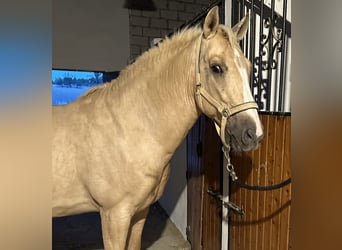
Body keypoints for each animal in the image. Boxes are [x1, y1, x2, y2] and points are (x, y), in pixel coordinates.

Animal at [52, 6, 264, 249]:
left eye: (248, 68)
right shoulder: (114, 216)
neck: (127, 129)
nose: (254, 134)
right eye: (216, 67)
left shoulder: (140, 212)